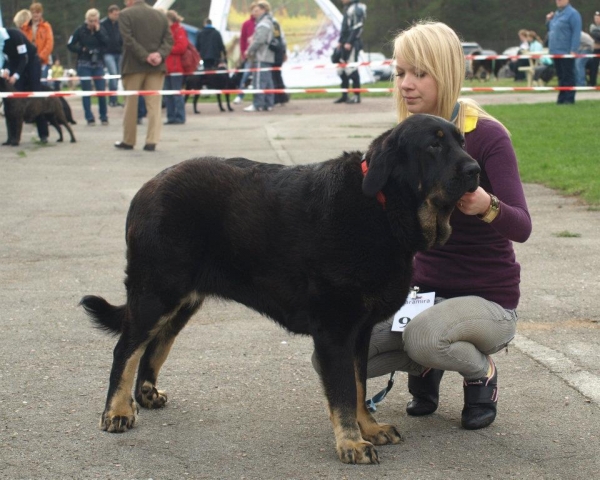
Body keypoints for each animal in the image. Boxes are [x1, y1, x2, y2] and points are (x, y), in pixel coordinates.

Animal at [82, 114, 480, 464]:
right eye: (433, 145)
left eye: (462, 142)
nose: (475, 170)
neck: (382, 208)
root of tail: (146, 189)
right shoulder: (335, 329)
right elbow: (344, 391)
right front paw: (351, 443)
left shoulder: (360, 330)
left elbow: (359, 385)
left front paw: (369, 428)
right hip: (155, 291)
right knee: (126, 348)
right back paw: (117, 412)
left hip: (182, 299)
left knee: (156, 344)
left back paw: (146, 394)